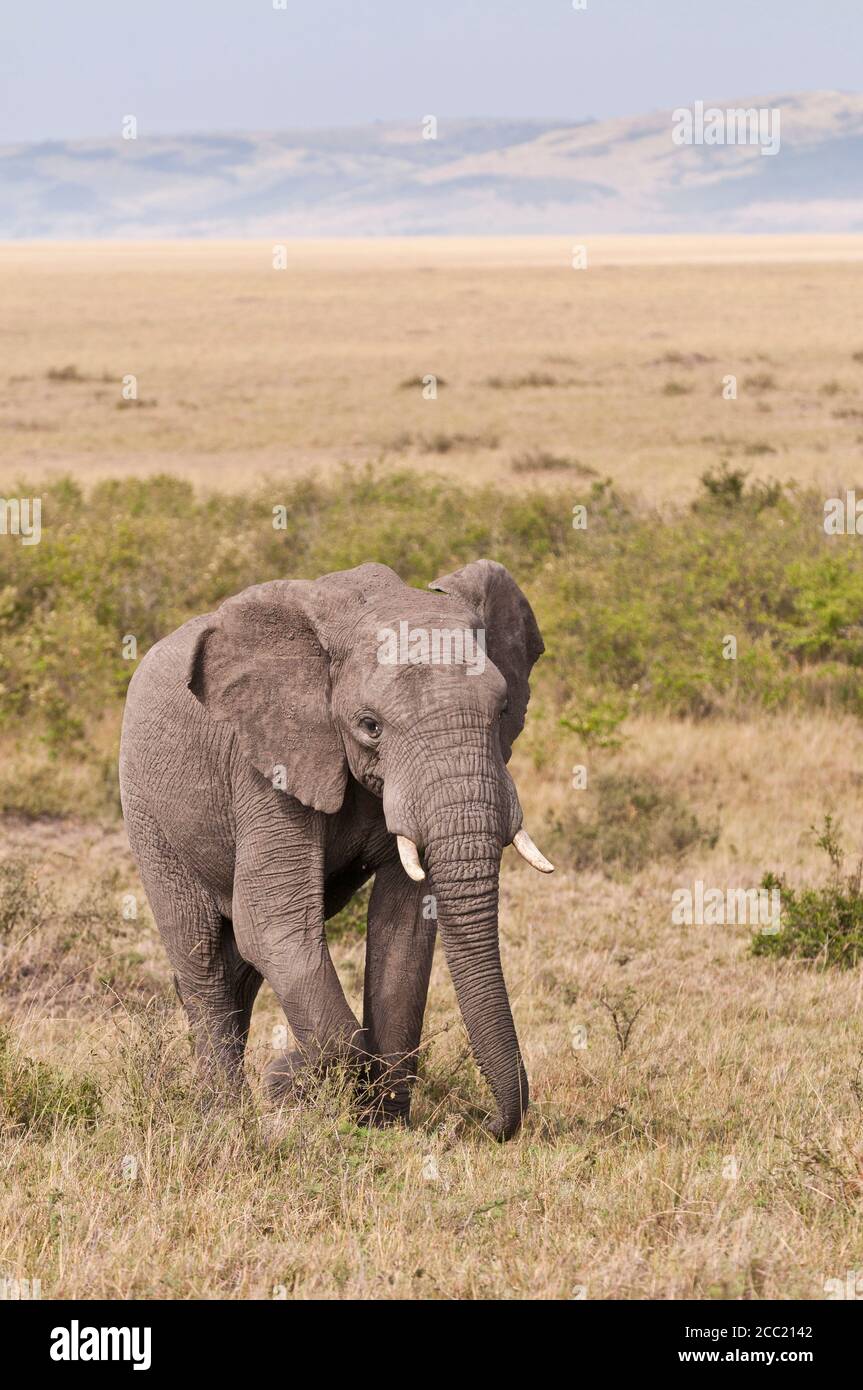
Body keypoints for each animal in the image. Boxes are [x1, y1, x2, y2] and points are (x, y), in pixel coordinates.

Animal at [119, 556, 553, 1139]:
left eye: (504, 710)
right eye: (370, 727)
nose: (486, 1125)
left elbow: (404, 930)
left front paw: (383, 1123)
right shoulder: (268, 762)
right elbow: (272, 924)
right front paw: (291, 1078)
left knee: (241, 970)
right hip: (148, 813)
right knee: (201, 954)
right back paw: (225, 1115)